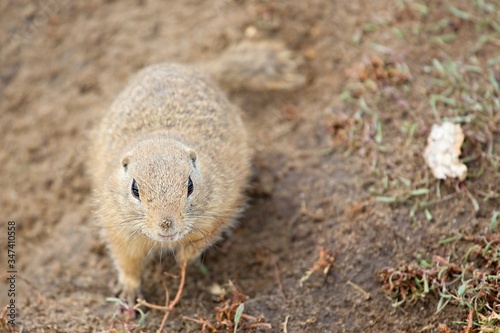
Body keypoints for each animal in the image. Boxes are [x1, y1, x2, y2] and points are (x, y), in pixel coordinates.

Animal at [90, 40, 304, 304]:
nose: (166, 225)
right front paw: (128, 291)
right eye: (134, 189)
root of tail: (194, 68)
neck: (161, 135)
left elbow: (201, 240)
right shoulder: (116, 225)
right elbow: (126, 261)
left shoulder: (222, 209)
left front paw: (183, 259)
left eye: (190, 186)